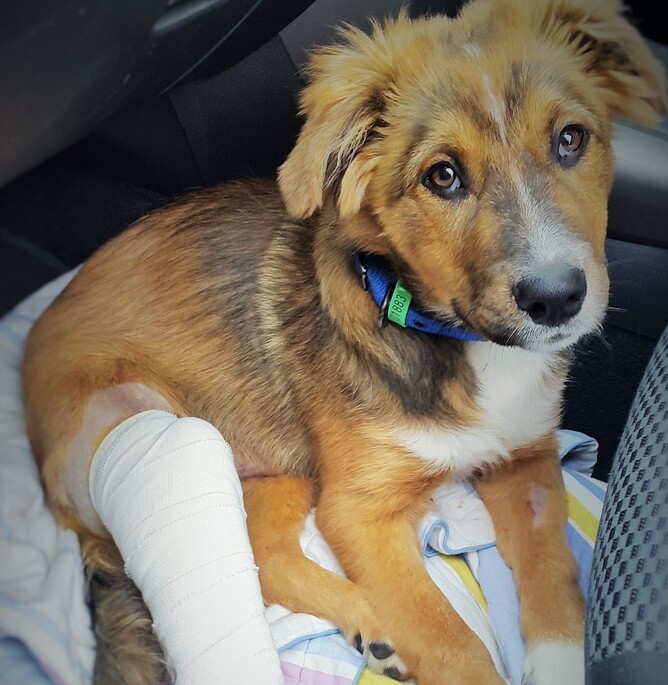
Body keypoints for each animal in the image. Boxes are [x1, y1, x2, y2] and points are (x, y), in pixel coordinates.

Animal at [22, 0, 666, 683]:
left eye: (571, 139)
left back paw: (369, 624)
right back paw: (374, 619)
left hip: (274, 468)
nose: (556, 300)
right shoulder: (359, 512)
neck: (454, 339)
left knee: (264, 553)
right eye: (443, 176)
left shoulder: (528, 459)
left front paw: (563, 660)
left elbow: (554, 576)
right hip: (150, 428)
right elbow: (451, 641)